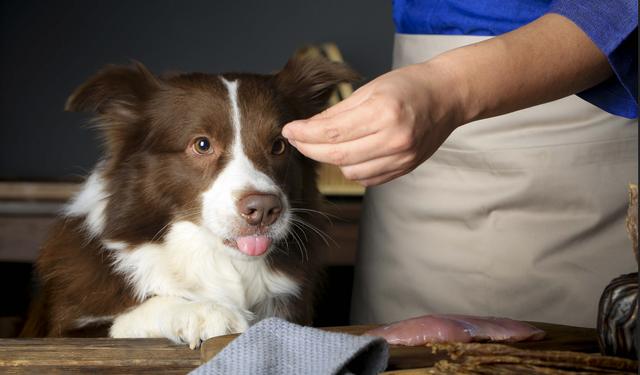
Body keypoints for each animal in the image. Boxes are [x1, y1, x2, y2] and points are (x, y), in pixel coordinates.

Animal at [20, 54, 358, 348]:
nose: (263, 210)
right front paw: (202, 311)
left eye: (279, 146)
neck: (216, 260)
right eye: (202, 144)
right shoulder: (62, 332)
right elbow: (120, 321)